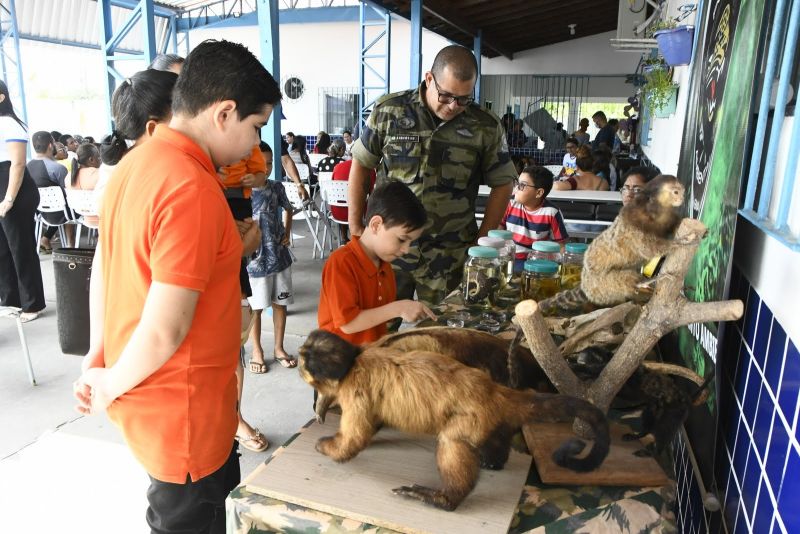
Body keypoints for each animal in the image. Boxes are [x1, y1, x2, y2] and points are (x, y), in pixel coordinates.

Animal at [296, 328, 608, 512]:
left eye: (303, 363)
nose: (297, 362)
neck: (357, 359)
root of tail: (495, 391)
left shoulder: (356, 391)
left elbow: (354, 440)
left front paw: (324, 445)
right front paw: (322, 406)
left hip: (474, 416)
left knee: (452, 441)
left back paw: (444, 499)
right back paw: (495, 459)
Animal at [536, 176, 688, 318]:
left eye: (682, 192)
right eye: (675, 192)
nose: (682, 198)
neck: (656, 211)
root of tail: (585, 286)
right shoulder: (635, 226)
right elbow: (648, 248)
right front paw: (678, 242)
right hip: (601, 285)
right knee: (623, 278)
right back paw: (644, 282)